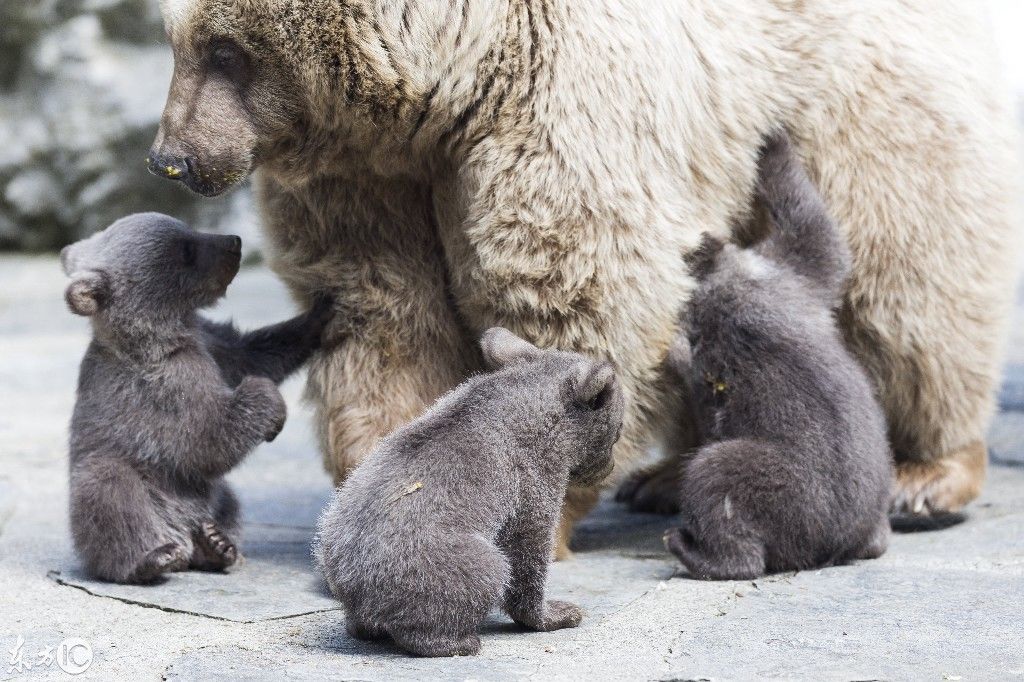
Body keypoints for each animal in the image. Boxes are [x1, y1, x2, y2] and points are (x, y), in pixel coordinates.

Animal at [149, 0, 1024, 557]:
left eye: (225, 49)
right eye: (175, 39)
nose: (172, 159)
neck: (452, 80)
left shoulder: (560, 104)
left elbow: (575, 293)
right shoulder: (371, 172)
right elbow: (382, 307)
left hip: (864, 112)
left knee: (907, 290)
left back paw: (924, 473)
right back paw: (667, 477)